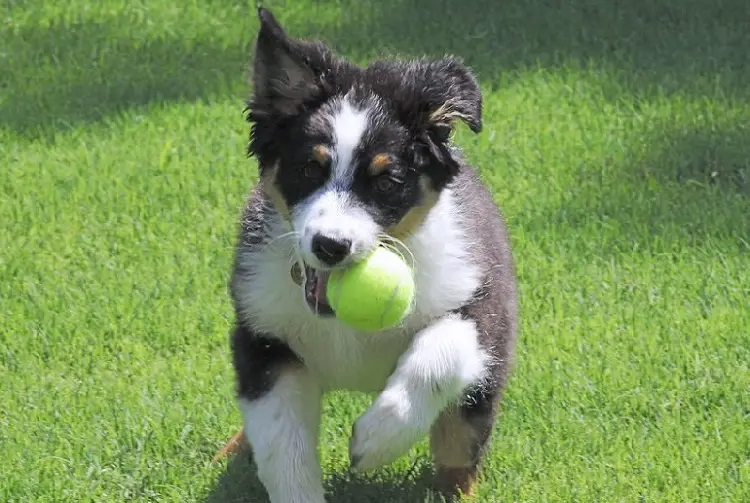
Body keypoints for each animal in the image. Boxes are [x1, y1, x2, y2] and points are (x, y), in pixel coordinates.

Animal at [220, 7, 520, 503]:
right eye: (309, 169)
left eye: (386, 182)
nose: (330, 245)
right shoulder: (264, 338)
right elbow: (283, 442)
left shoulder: (482, 303)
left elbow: (438, 355)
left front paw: (374, 442)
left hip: (480, 388)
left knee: (458, 447)